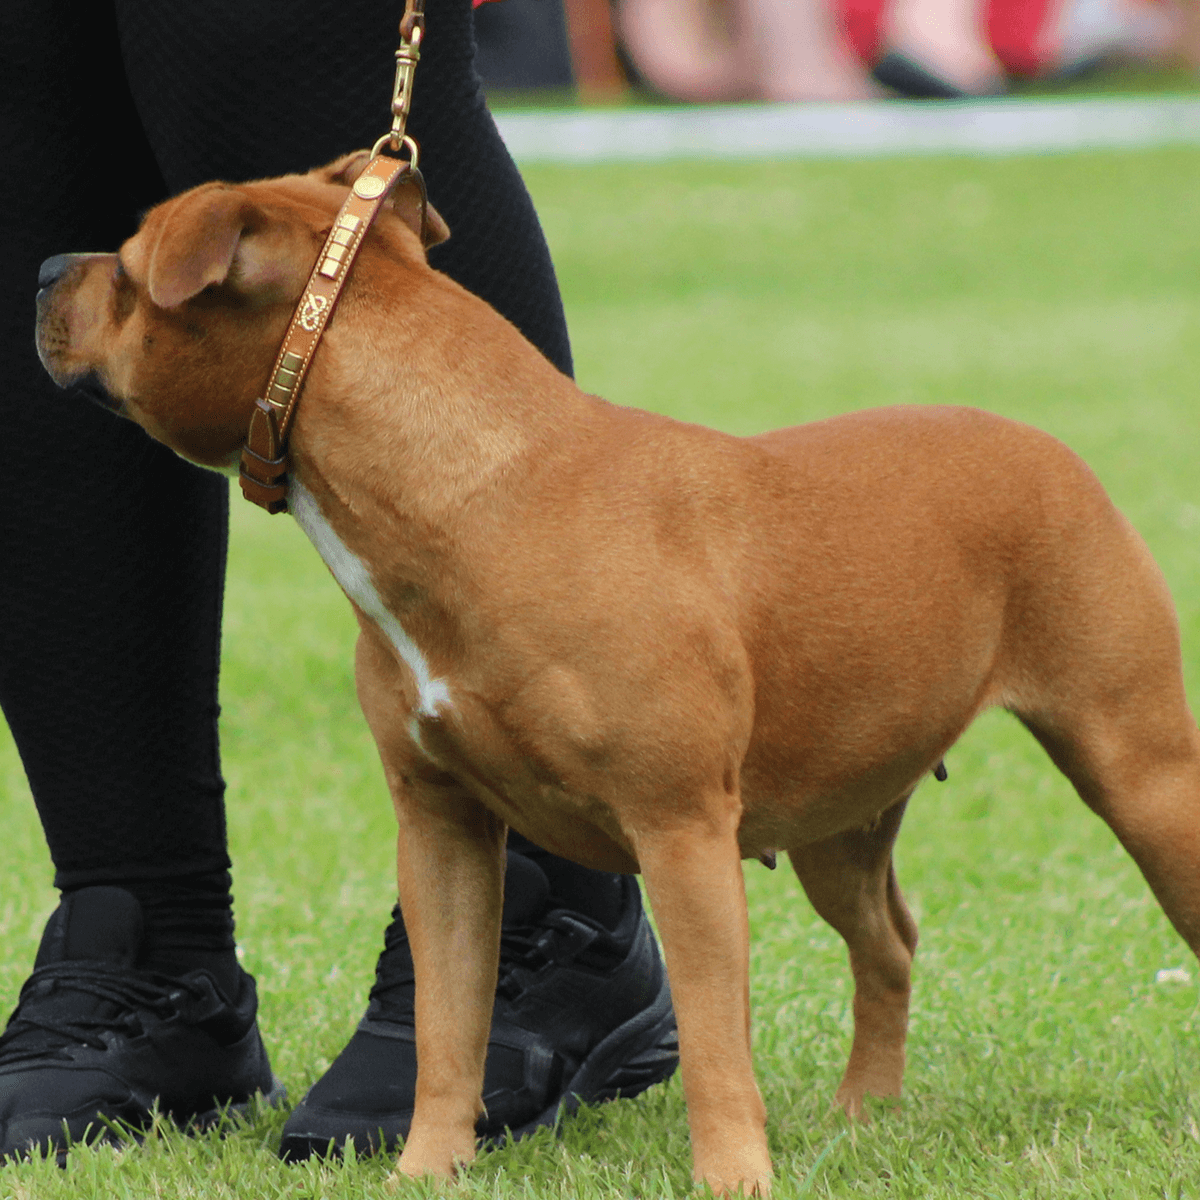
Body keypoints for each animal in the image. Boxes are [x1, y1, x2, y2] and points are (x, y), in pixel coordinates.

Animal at [32, 154, 1200, 1195]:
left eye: (126, 271)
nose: (44, 266)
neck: (477, 493)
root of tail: (1040, 442)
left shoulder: (680, 832)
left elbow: (716, 1045)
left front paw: (732, 1180)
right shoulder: (443, 832)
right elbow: (447, 1028)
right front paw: (426, 1168)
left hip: (1141, 776)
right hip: (837, 824)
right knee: (890, 945)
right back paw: (866, 1114)